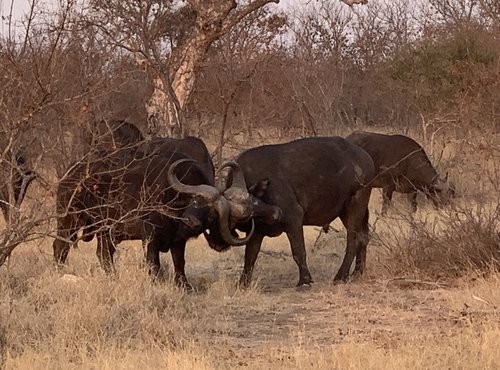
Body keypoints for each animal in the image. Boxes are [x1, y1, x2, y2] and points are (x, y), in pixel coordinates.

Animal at [223, 137, 376, 288]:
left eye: (251, 203)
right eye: (245, 214)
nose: (276, 214)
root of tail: (366, 157)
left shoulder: (294, 218)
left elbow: (298, 251)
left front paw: (305, 280)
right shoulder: (257, 232)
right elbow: (250, 257)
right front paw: (242, 283)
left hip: (355, 205)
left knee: (353, 240)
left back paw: (341, 276)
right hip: (346, 212)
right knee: (363, 237)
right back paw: (357, 272)